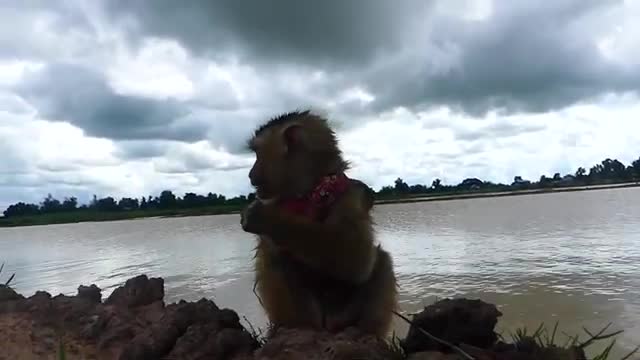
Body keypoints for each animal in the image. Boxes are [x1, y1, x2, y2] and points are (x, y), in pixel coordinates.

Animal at [241, 109, 400, 338]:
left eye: (257, 155)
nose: (251, 174)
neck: (310, 193)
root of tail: (328, 326)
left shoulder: (349, 196)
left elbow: (356, 258)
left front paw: (264, 218)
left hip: (344, 314)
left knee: (382, 259)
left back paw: (366, 333)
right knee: (275, 257)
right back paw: (295, 327)